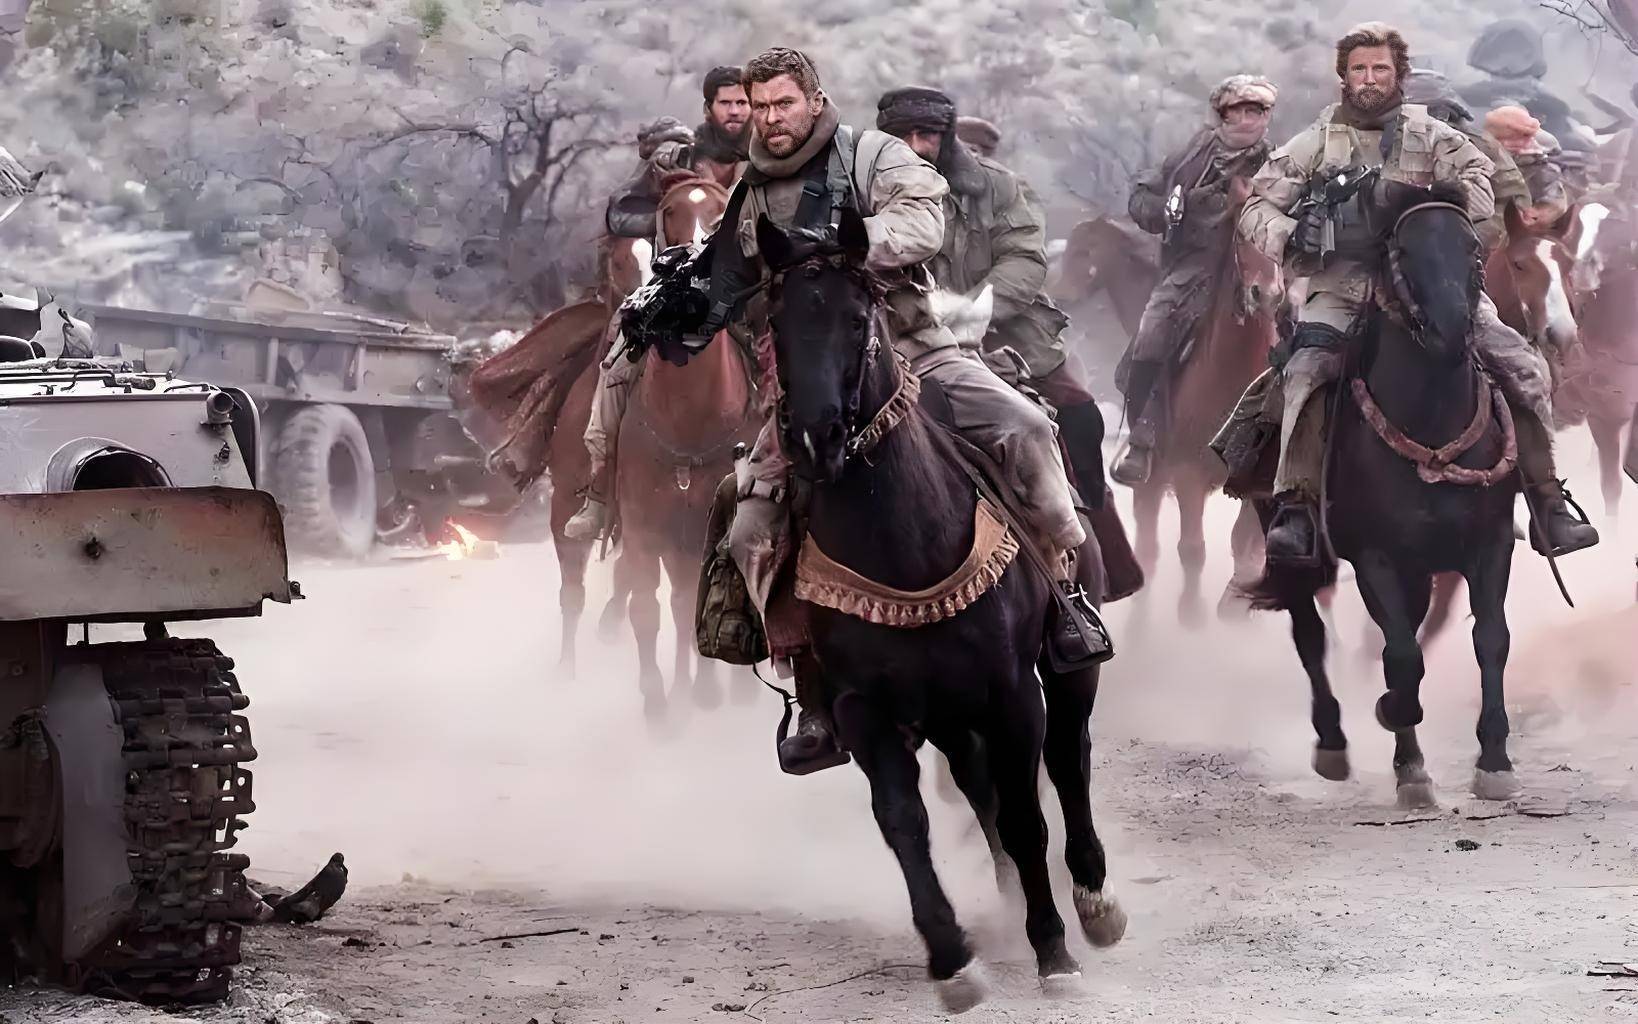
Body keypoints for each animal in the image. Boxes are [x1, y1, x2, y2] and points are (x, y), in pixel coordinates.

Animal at [755, 208, 1125, 1012]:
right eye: (776, 320)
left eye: (856, 317)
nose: (817, 437)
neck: (903, 540)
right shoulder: (864, 708)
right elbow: (904, 822)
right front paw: (953, 960)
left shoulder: (1011, 692)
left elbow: (1025, 813)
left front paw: (1054, 951)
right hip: (947, 713)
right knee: (977, 787)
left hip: (1065, 672)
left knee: (1068, 759)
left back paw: (1093, 901)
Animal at [1128, 233, 1278, 626]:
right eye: (1241, 235)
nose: (1267, 294)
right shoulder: (1187, 473)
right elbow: (1192, 548)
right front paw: (1192, 615)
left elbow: (1245, 544)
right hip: (1151, 479)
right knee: (1147, 547)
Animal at [1249, 181, 1524, 808]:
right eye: (1403, 252)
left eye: (1473, 249)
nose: (1451, 331)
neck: (1432, 427)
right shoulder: (1376, 557)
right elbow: (1400, 656)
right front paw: (1408, 757)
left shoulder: (1490, 544)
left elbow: (1490, 639)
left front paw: (1494, 760)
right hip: (1292, 546)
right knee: (1310, 633)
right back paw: (1332, 742)